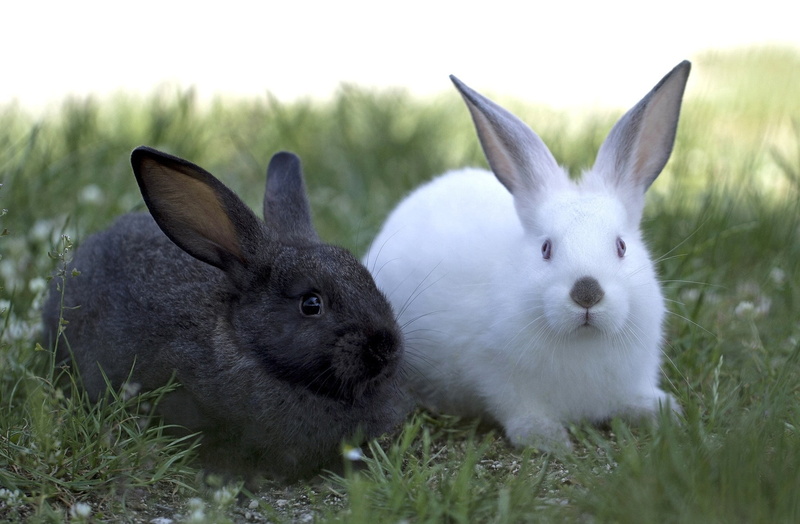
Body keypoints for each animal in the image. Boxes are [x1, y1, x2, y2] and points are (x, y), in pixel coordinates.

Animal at [365, 61, 691, 451]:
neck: (583, 341)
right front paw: (549, 440)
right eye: (546, 248)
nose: (587, 293)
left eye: (621, 247)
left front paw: (663, 412)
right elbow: (520, 411)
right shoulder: (499, 378)